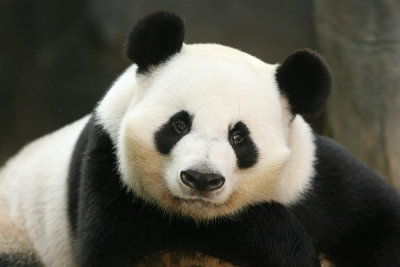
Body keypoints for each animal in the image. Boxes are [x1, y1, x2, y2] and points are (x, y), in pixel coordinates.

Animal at [0, 11, 400, 266]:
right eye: (178, 125)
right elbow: (120, 243)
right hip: (16, 233)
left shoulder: (312, 178)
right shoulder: (107, 161)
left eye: (239, 136)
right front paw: (290, 248)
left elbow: (379, 218)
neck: (199, 212)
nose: (201, 179)